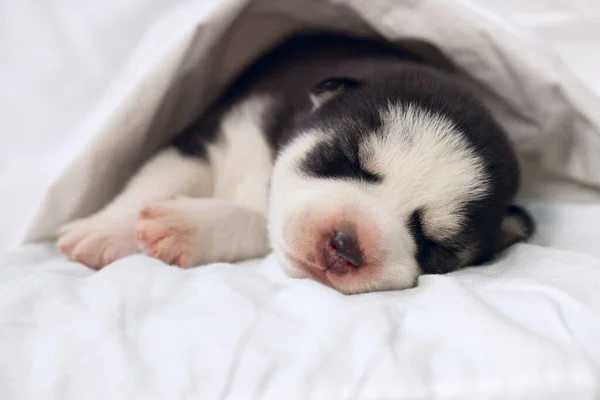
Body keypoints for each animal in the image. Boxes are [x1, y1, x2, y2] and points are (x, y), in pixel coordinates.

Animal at [56, 32, 536, 294]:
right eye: (343, 159)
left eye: (437, 246)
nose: (345, 246)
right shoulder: (212, 135)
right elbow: (157, 176)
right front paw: (102, 230)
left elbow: (259, 221)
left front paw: (185, 226)